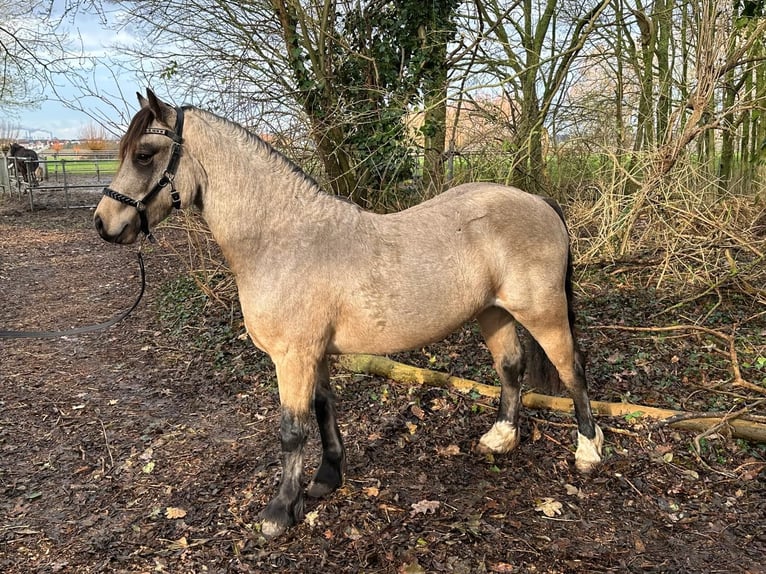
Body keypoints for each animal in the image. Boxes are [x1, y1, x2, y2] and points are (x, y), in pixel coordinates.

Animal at [93, 90, 604, 540]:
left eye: (144, 154)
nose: (103, 223)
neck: (281, 238)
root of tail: (538, 202)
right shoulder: (314, 354)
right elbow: (323, 410)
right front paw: (325, 479)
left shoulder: (292, 356)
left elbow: (291, 430)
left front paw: (280, 511)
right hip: (493, 313)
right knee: (511, 366)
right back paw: (501, 438)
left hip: (543, 313)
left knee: (572, 369)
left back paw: (588, 450)